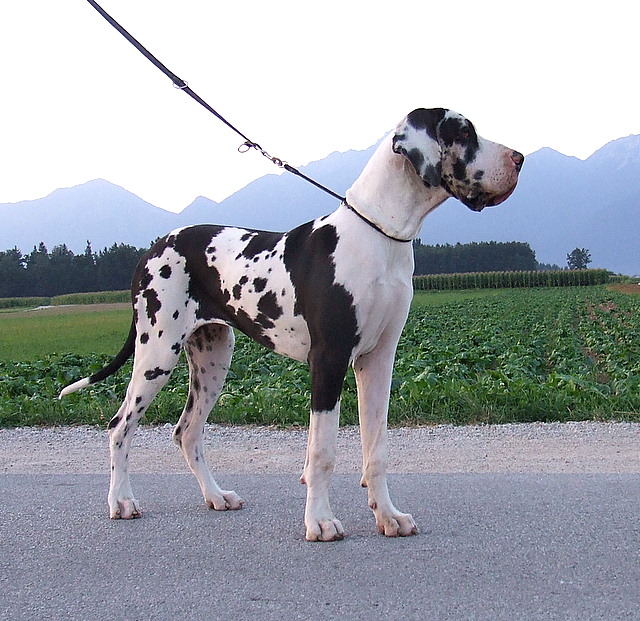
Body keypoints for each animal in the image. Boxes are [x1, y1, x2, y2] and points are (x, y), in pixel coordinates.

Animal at [60, 108, 523, 541]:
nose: (519, 158)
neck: (380, 237)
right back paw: (121, 501)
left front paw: (388, 516)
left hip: (213, 358)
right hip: (157, 351)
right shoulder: (329, 360)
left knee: (186, 432)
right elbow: (322, 452)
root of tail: (152, 248)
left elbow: (376, 448)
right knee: (120, 426)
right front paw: (319, 521)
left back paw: (216, 496)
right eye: (463, 132)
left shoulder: (378, 361)